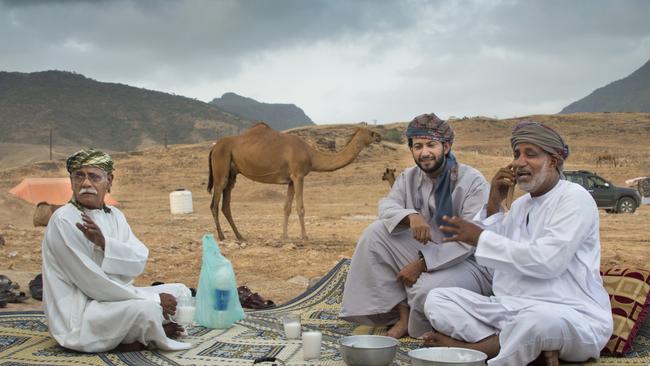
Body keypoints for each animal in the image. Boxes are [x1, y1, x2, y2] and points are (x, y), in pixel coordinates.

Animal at [208, 123, 380, 242]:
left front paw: (284, 236)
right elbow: (300, 208)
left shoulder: (290, 180)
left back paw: (240, 236)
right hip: (221, 167)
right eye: (371, 133)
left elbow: (287, 208)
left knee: (226, 205)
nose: (379, 136)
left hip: (232, 174)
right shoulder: (298, 175)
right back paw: (222, 236)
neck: (311, 155)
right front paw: (305, 236)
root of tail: (214, 147)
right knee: (215, 204)